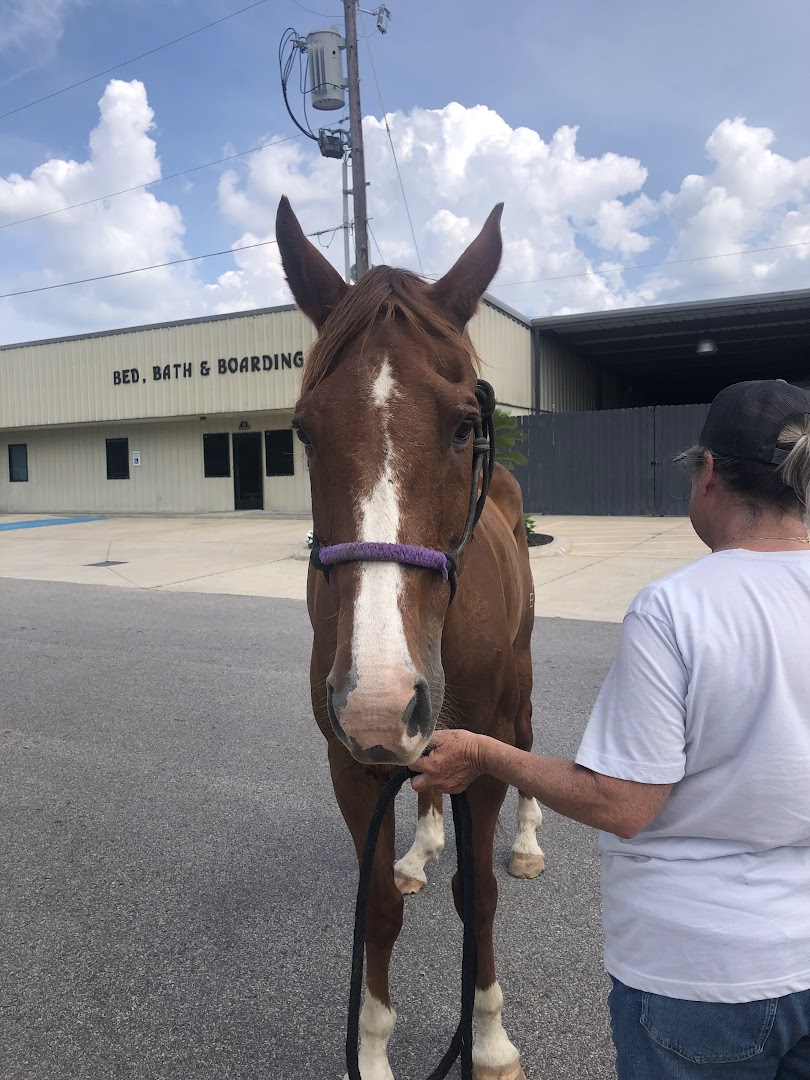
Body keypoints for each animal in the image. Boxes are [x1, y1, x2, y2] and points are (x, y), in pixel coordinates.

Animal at [276, 198, 542, 1075]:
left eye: (464, 426)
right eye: (304, 431)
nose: (380, 701)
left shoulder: (482, 749)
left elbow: (480, 897)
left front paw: (488, 1038)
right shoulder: (354, 763)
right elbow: (380, 912)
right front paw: (372, 1052)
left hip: (516, 685)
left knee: (530, 742)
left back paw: (528, 840)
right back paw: (421, 845)